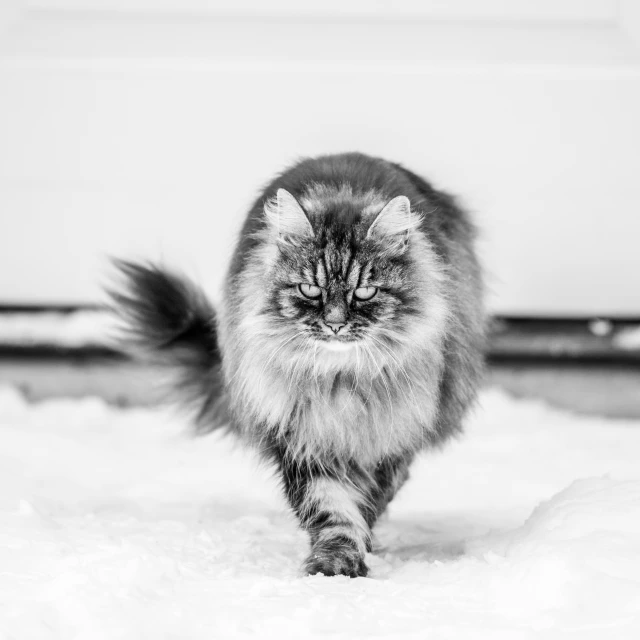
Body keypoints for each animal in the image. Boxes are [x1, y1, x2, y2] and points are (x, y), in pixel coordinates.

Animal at [110, 152, 482, 576]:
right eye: (310, 290)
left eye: (364, 292)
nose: (335, 324)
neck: (341, 384)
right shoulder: (302, 436)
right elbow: (332, 508)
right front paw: (334, 561)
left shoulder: (389, 437)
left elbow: (370, 499)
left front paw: (359, 549)